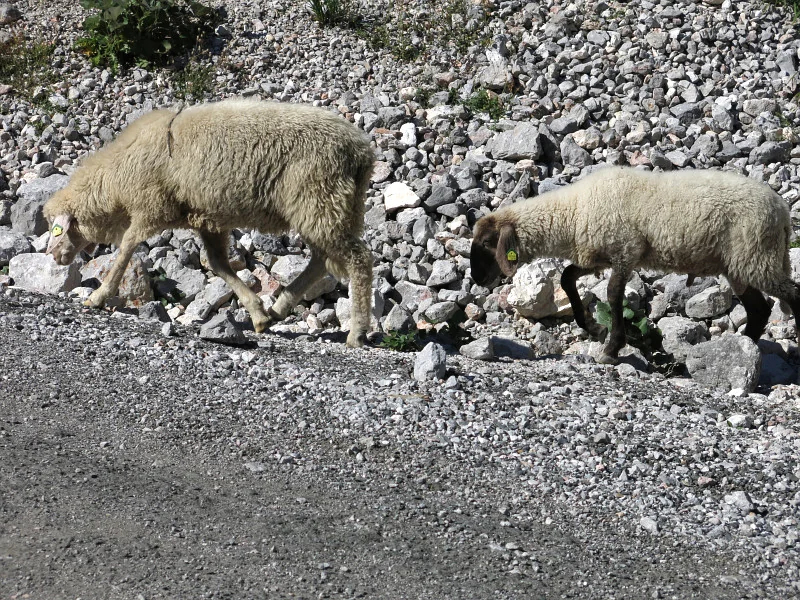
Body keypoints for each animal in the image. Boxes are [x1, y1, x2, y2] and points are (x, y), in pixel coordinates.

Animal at [44, 98, 375, 347]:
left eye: (57, 230)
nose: (53, 256)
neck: (117, 180)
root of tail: (362, 150)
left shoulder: (151, 206)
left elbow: (126, 248)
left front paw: (98, 297)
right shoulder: (206, 218)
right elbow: (218, 265)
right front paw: (257, 312)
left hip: (319, 199)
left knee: (357, 259)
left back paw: (357, 332)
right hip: (329, 206)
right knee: (322, 260)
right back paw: (280, 308)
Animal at [470, 166, 800, 364]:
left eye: (487, 243)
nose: (475, 277)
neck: (572, 213)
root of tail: (782, 211)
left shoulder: (625, 251)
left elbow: (614, 294)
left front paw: (611, 348)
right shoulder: (598, 255)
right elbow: (566, 278)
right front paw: (592, 327)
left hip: (757, 256)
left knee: (792, 296)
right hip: (742, 265)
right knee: (759, 309)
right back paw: (741, 347)